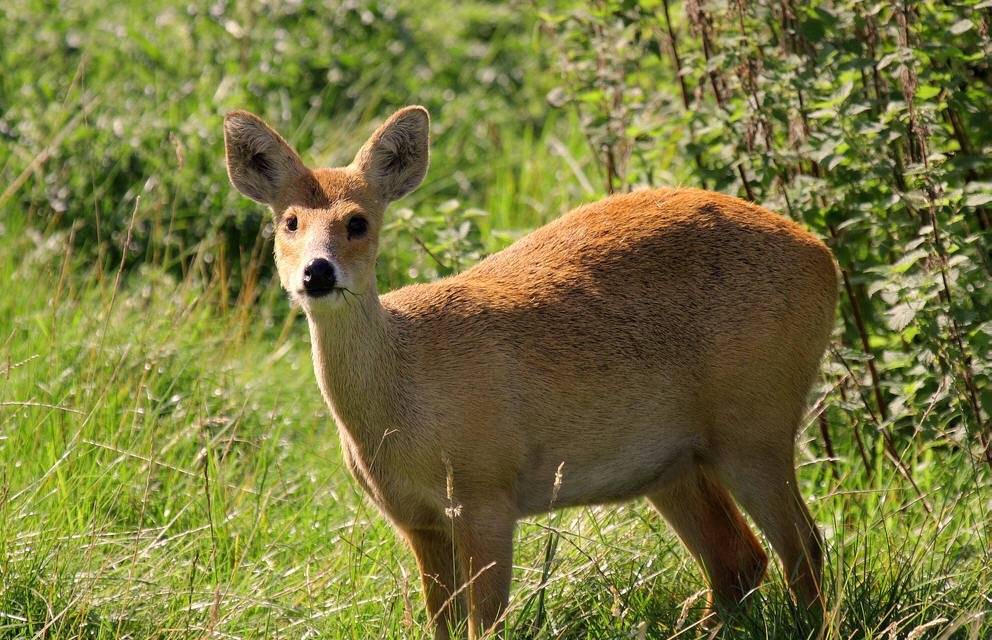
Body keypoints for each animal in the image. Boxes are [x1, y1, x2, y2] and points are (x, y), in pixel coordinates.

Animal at [223, 106, 836, 640]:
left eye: (357, 221)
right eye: (289, 221)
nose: (317, 272)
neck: (403, 401)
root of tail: (824, 256)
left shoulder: (486, 495)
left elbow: (485, 624)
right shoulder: (416, 519)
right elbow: (443, 625)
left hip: (756, 423)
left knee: (803, 547)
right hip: (673, 464)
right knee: (739, 560)